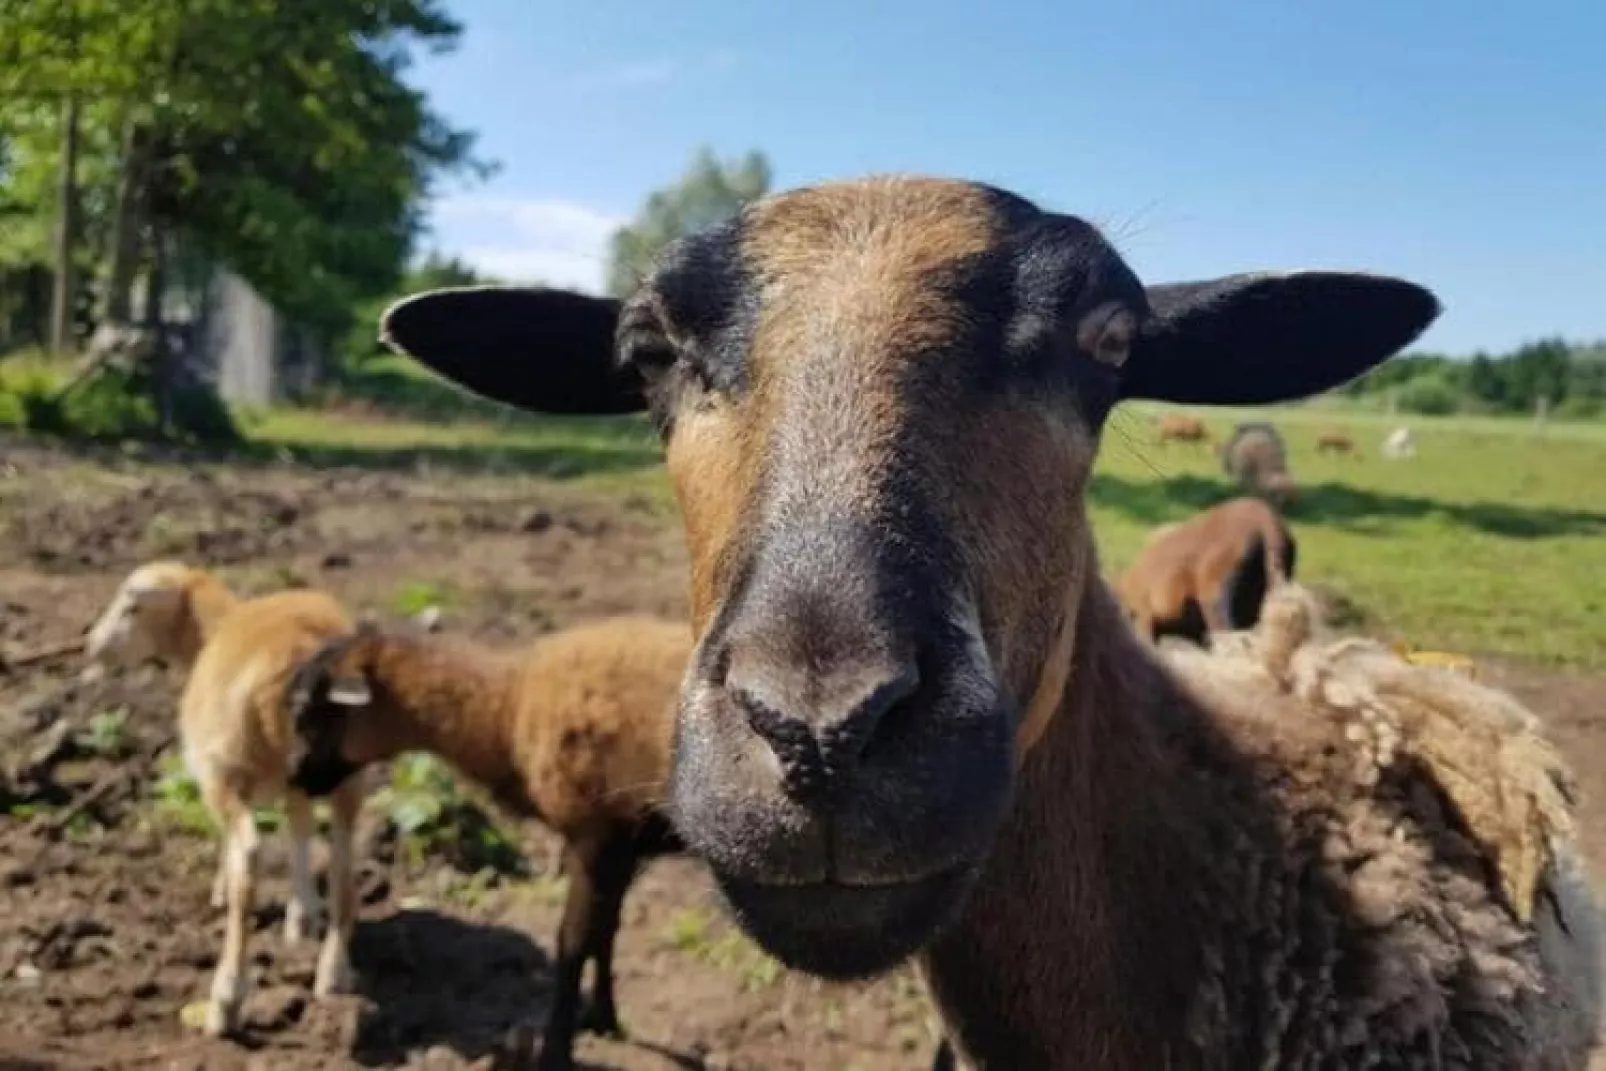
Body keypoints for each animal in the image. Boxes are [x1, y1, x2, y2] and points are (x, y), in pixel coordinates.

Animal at [82, 561, 364, 1040]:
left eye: (132, 607)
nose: (93, 646)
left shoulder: (215, 776)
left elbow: (235, 844)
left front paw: (220, 890)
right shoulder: (296, 784)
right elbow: (301, 829)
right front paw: (302, 915)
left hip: (228, 770)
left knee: (249, 856)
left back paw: (226, 1000)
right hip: (347, 775)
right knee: (344, 862)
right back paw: (334, 972)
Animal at [282, 610, 690, 1071]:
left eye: (313, 715)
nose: (294, 777)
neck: (505, 714)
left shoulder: (592, 837)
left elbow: (572, 943)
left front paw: (555, 1052)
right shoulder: (620, 848)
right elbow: (605, 932)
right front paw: (603, 1019)